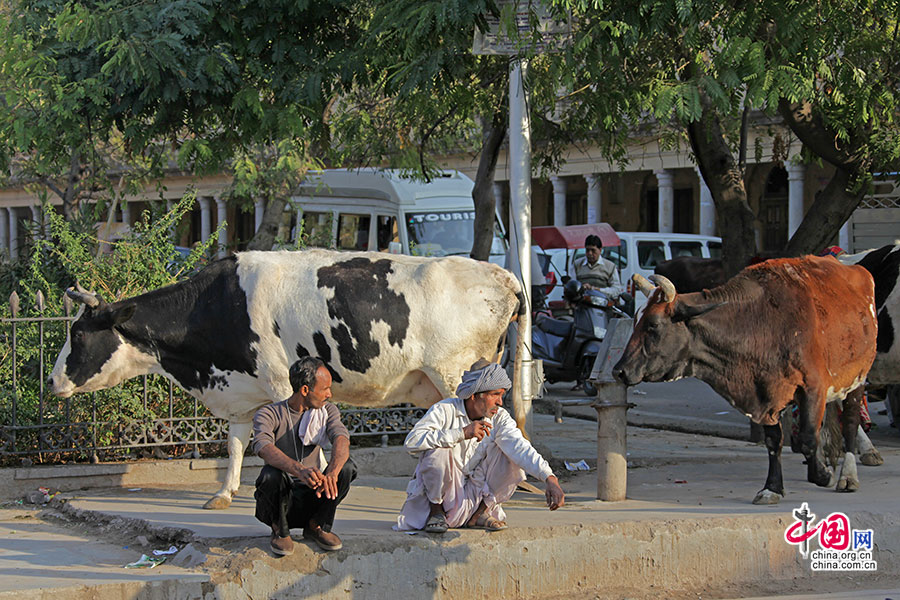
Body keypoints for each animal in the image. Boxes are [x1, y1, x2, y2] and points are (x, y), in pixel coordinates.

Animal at [51, 251, 520, 508]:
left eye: (79, 333)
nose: (54, 380)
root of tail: (503, 275)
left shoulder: (281, 382)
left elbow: (300, 440)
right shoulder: (241, 390)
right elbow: (236, 443)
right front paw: (224, 493)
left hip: (456, 373)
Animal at [616, 255, 876, 504]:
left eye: (653, 325)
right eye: (636, 321)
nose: (619, 370)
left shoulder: (813, 388)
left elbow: (807, 438)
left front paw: (822, 475)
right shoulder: (766, 394)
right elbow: (774, 441)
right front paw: (772, 488)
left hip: (857, 378)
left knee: (850, 423)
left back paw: (848, 476)